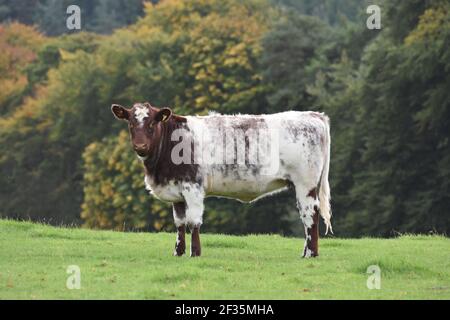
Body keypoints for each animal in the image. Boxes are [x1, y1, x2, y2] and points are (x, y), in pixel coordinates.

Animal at [112, 102, 330, 258]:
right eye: (131, 123)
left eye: (151, 123)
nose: (140, 146)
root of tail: (313, 115)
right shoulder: (176, 191)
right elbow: (180, 223)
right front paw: (178, 252)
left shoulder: (193, 188)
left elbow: (193, 222)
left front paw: (195, 253)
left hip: (306, 184)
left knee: (310, 216)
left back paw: (310, 254)